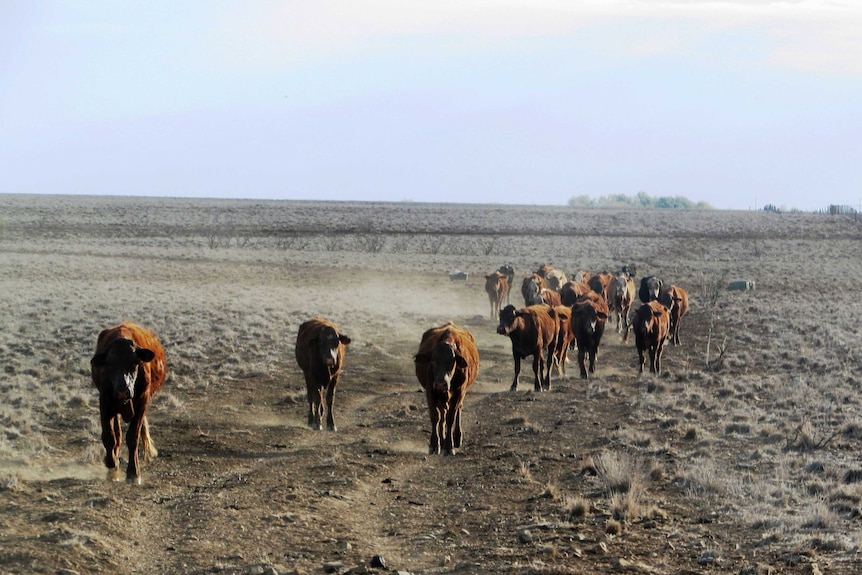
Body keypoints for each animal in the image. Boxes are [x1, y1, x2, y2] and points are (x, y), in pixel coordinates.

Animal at [91, 322, 167, 484]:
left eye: (134, 362)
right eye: (109, 364)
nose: (122, 391)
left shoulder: (142, 404)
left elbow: (132, 437)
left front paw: (133, 473)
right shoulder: (105, 403)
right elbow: (109, 436)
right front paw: (111, 463)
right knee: (117, 435)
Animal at [416, 324, 482, 454]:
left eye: (452, 361)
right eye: (433, 360)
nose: (441, 383)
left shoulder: (459, 391)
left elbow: (451, 417)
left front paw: (448, 446)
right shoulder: (430, 391)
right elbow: (435, 416)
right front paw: (434, 445)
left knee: (457, 410)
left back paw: (456, 437)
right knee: (442, 416)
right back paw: (441, 439)